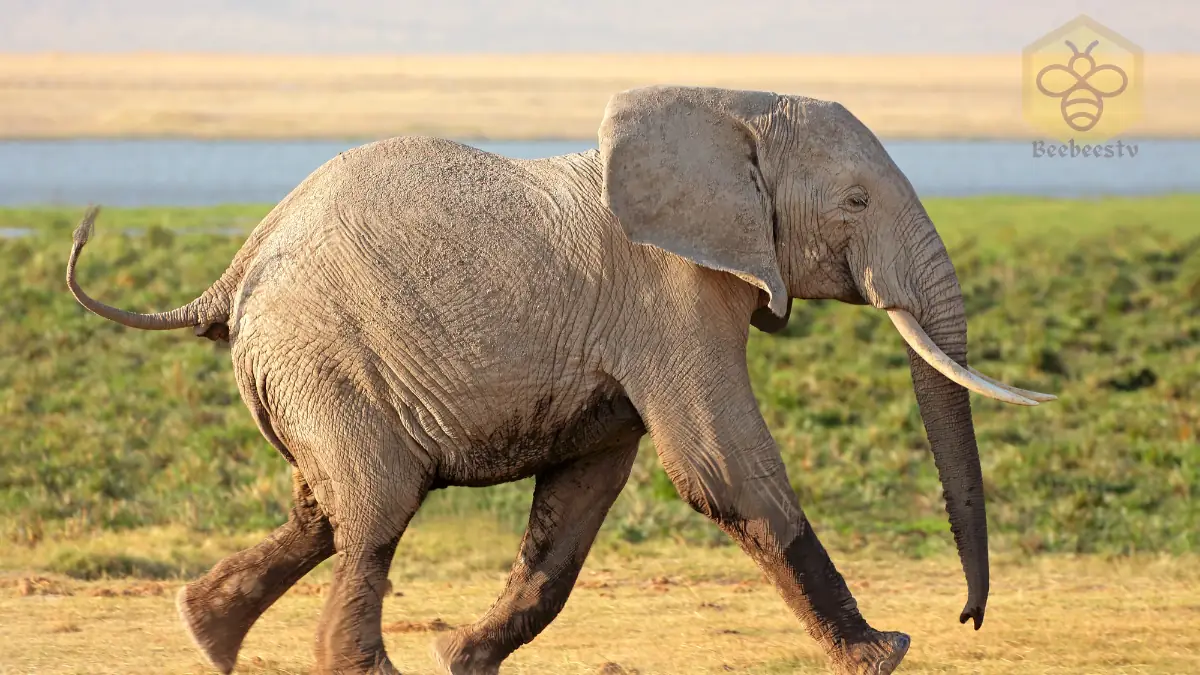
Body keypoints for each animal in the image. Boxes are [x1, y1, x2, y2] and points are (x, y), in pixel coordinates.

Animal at [68, 85, 1051, 672]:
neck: (729, 106)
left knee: (323, 508)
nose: (968, 617)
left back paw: (205, 634)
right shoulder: (671, 295)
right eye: (855, 202)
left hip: (306, 372)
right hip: (323, 356)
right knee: (376, 508)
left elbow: (578, 506)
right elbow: (723, 469)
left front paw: (462, 658)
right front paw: (884, 651)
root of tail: (234, 269)